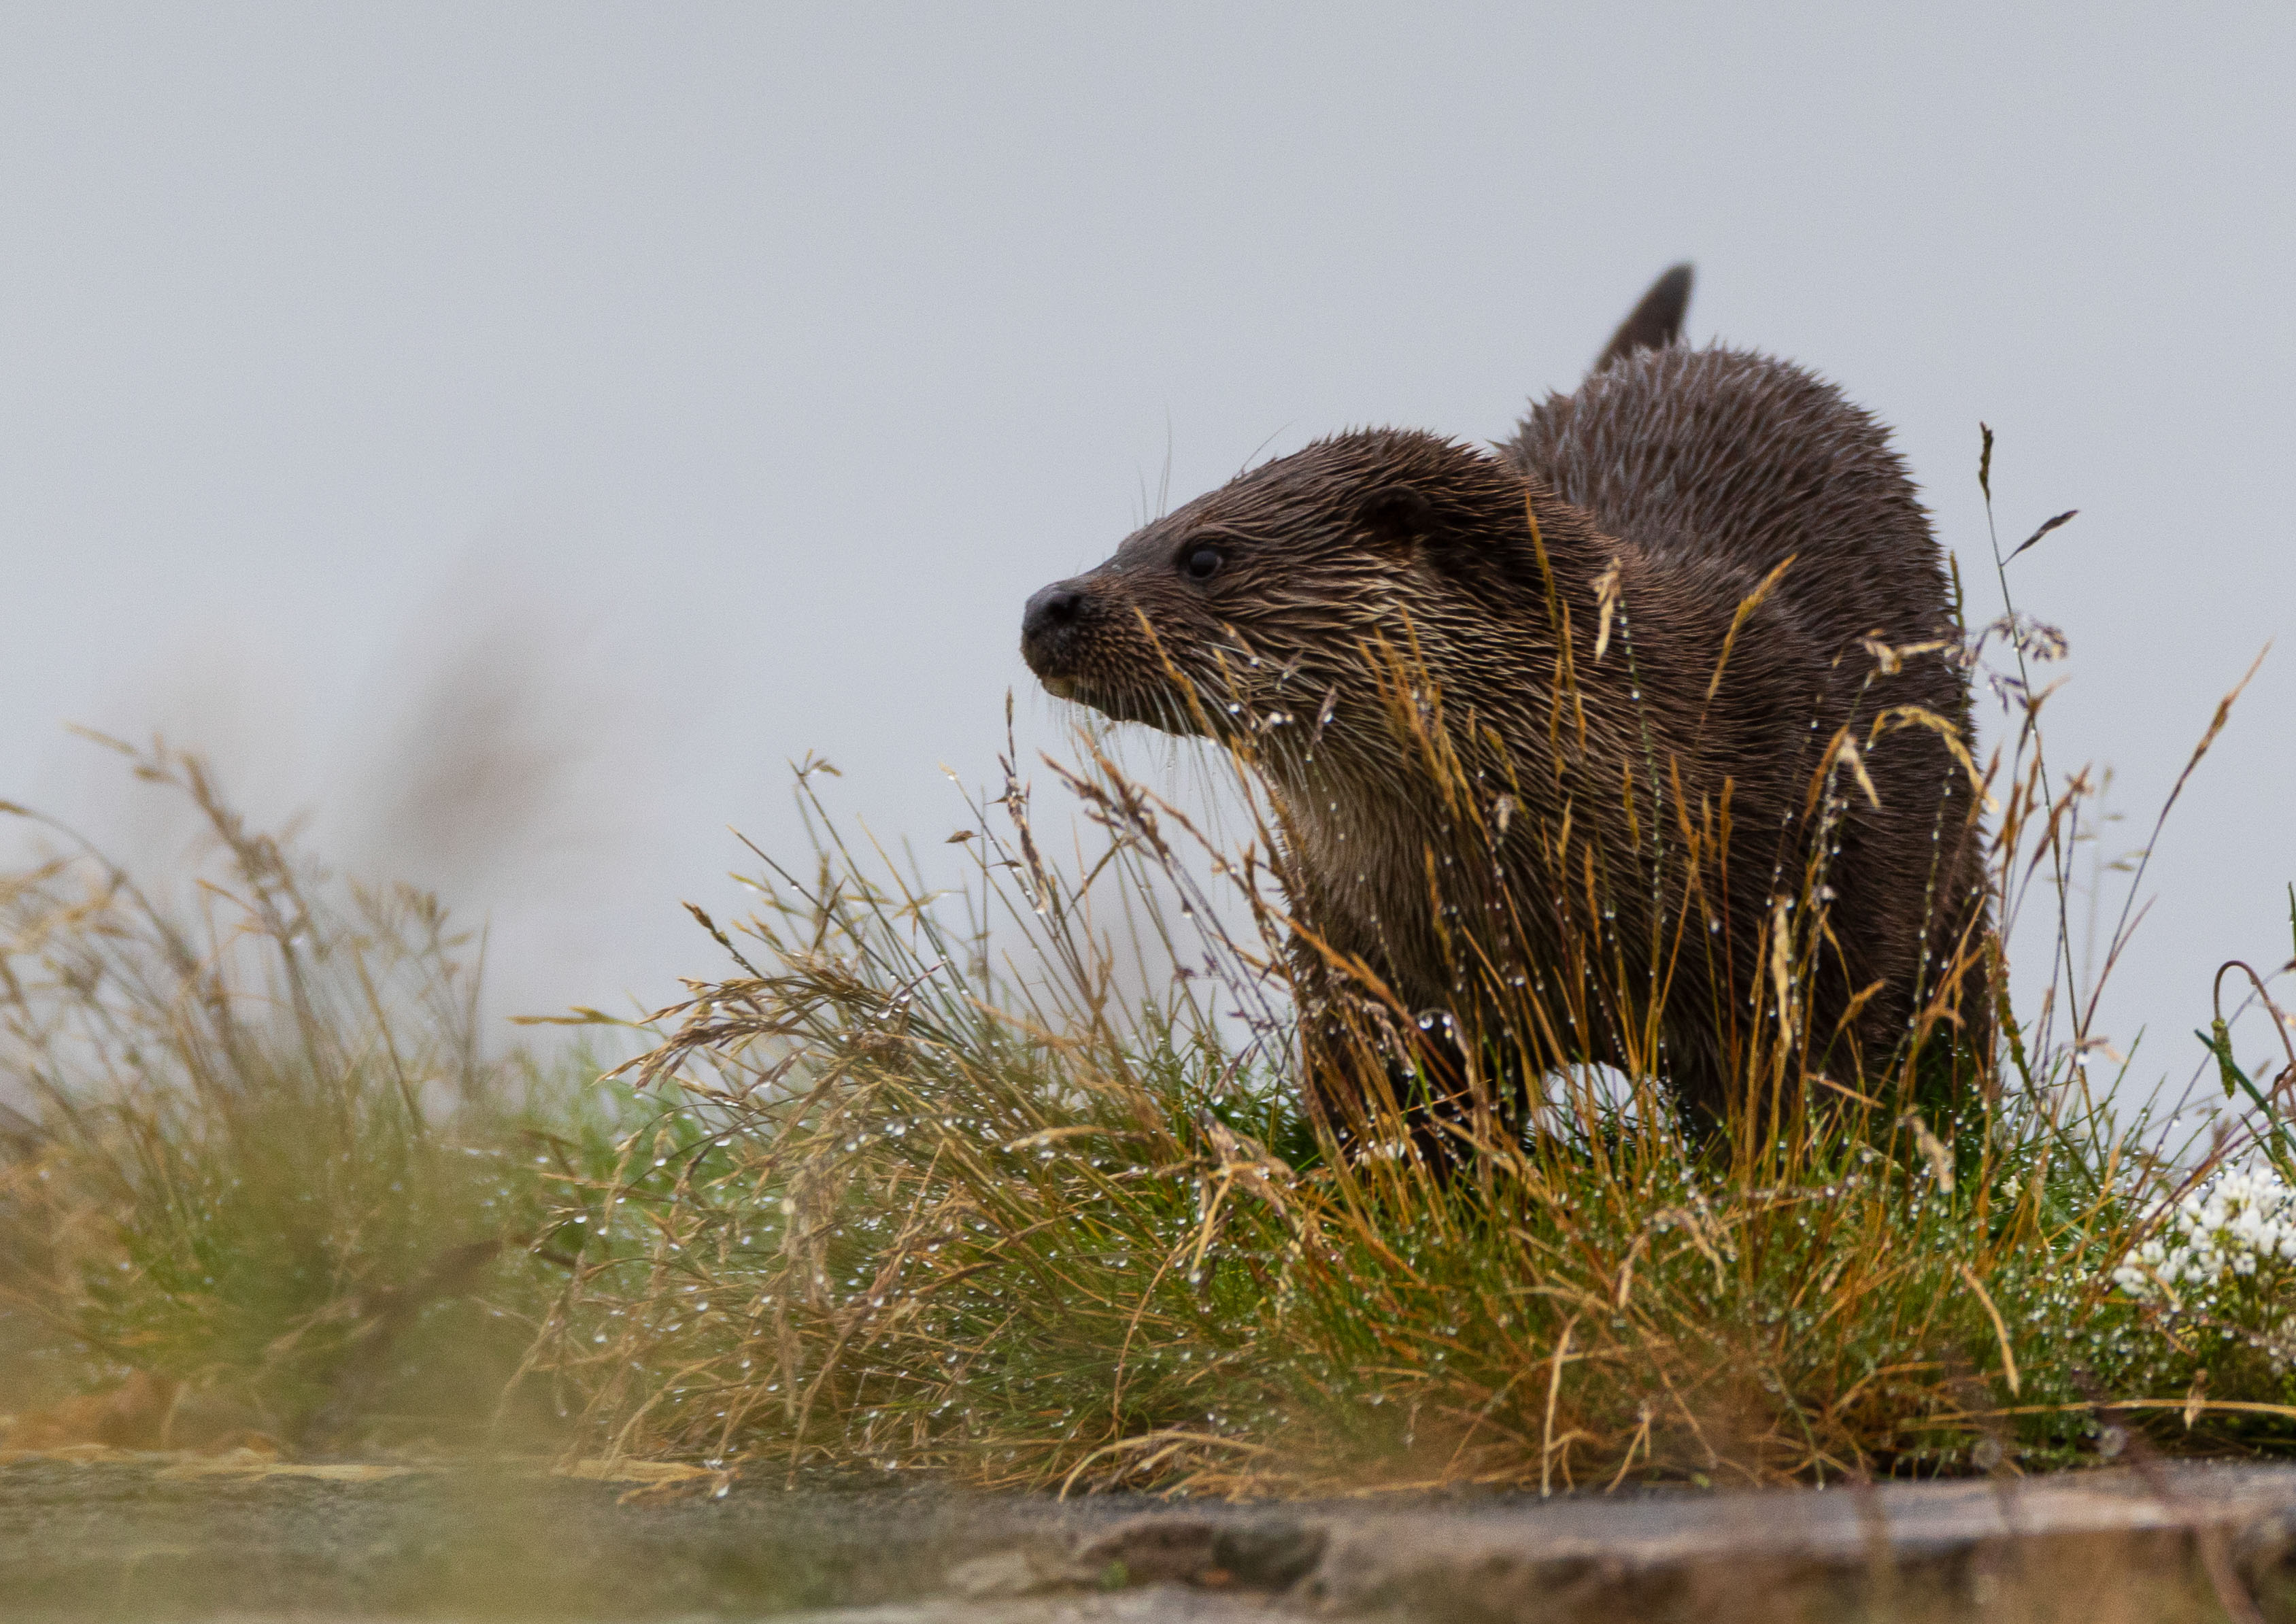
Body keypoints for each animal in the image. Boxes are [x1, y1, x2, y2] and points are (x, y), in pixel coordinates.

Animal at [1020, 268, 1990, 1129]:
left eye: (1204, 555)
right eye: (1126, 540)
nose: (1046, 605)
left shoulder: (1812, 911)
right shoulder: (1354, 952)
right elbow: (1380, 1112)